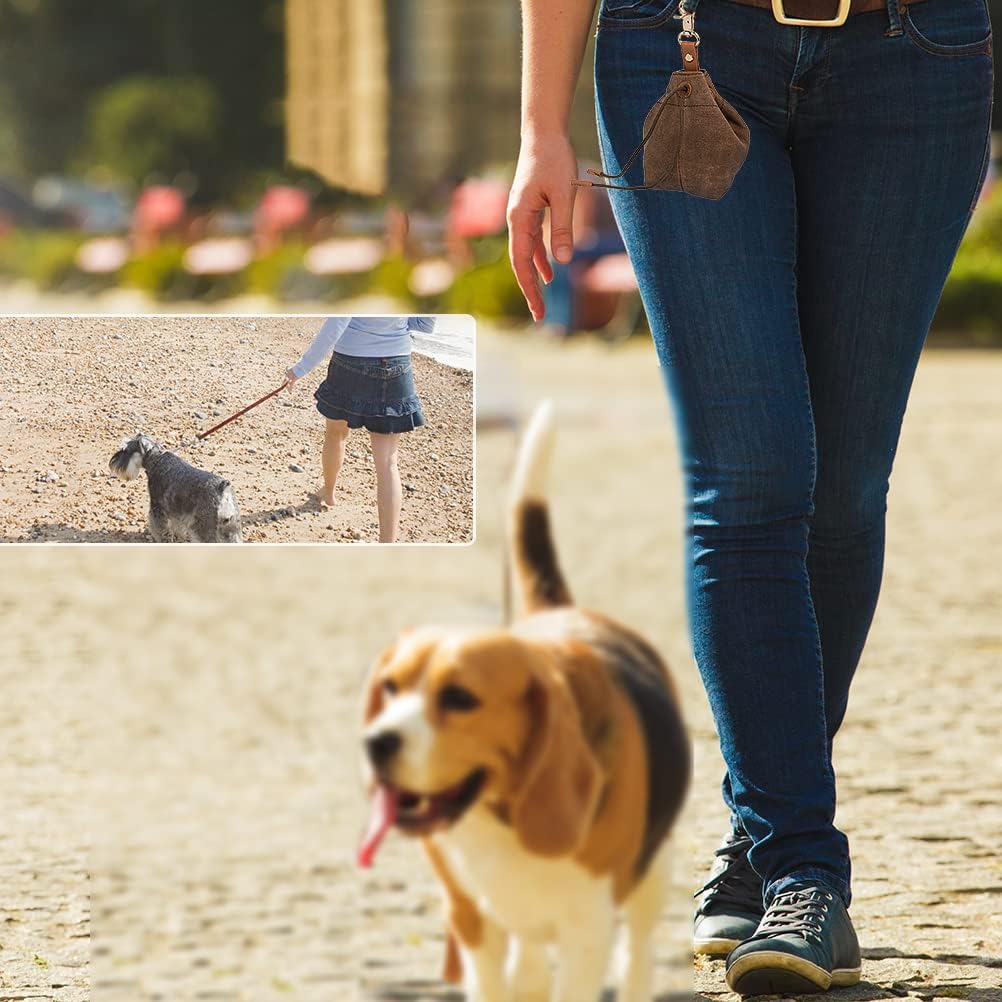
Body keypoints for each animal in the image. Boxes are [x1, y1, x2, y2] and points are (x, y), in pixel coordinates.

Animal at [109, 430, 242, 541]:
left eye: (125, 450)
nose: (112, 463)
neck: (156, 460)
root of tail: (222, 489)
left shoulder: (157, 506)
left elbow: (158, 527)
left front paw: (159, 539)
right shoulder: (176, 509)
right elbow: (177, 525)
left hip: (205, 526)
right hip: (230, 526)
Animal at [358, 404, 689, 1002]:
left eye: (460, 697)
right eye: (391, 687)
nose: (375, 743)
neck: (500, 817)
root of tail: (562, 612)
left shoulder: (586, 932)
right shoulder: (470, 919)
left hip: (651, 877)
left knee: (638, 954)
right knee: (530, 966)